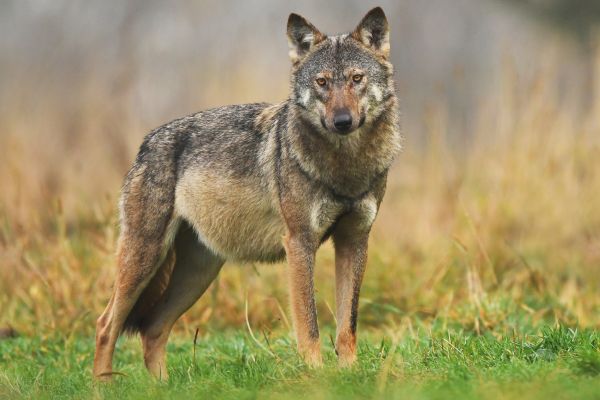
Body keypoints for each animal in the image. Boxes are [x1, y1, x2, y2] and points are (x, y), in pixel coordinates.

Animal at [94, 7, 400, 378]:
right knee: (106, 324)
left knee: (152, 328)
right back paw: (103, 385)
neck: (346, 167)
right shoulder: (300, 242)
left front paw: (351, 375)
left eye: (356, 79)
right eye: (322, 82)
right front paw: (316, 375)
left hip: (198, 273)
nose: (342, 121)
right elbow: (309, 325)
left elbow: (347, 325)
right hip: (145, 258)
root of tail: (146, 142)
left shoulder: (354, 240)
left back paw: (161, 386)